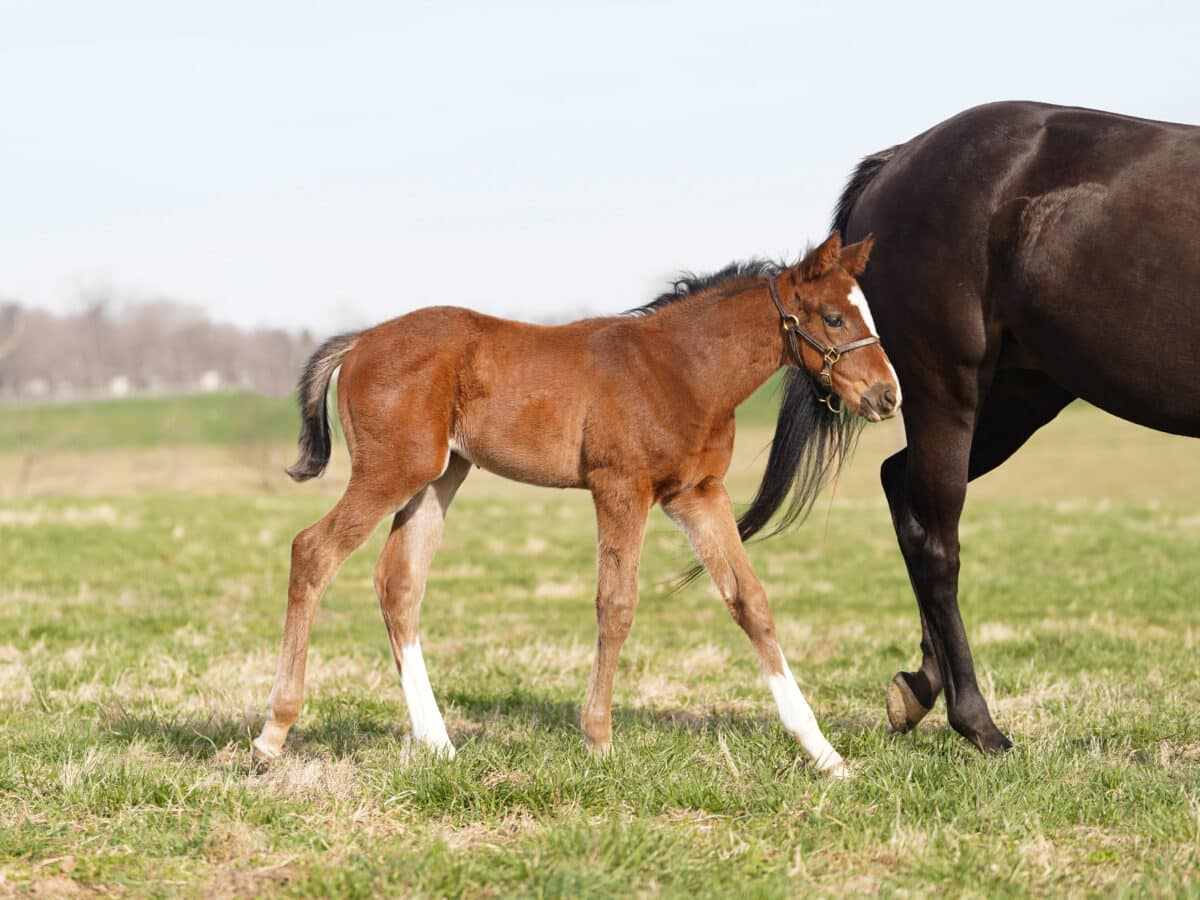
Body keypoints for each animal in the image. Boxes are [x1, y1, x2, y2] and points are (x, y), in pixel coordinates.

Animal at [253, 232, 902, 777]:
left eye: (869, 312)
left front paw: (825, 754)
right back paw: (273, 733)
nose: (887, 396)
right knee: (313, 551)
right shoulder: (621, 487)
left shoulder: (697, 494)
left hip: (438, 477)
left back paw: (438, 742)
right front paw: (599, 741)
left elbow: (751, 601)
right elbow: (616, 604)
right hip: (392, 470)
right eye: (835, 316)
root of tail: (362, 339)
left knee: (399, 582)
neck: (682, 369)